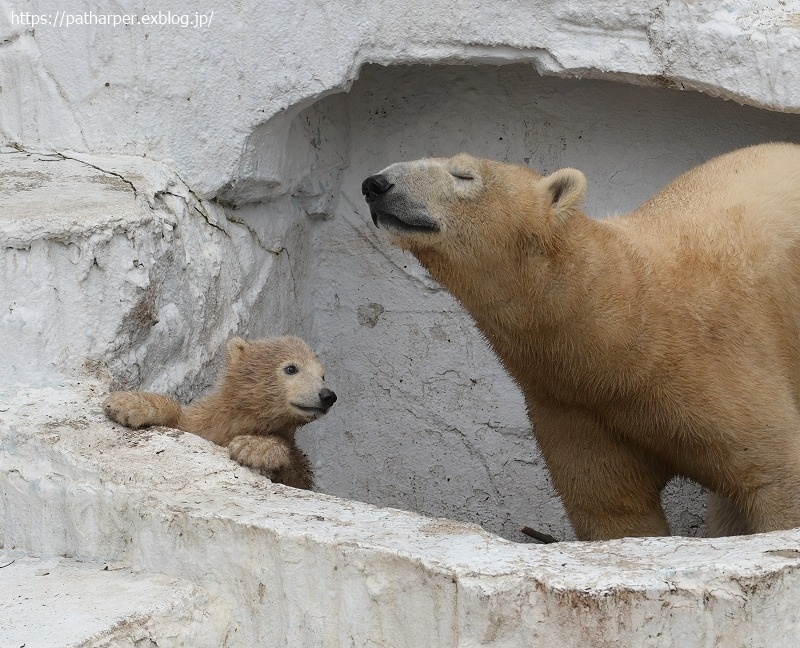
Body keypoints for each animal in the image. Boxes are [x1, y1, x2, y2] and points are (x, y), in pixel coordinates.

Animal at [102, 336, 334, 488]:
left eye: (322, 375)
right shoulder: (202, 421)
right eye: (291, 368)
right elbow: (181, 419)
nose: (328, 395)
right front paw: (128, 403)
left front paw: (255, 447)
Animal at [362, 144, 800, 540]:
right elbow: (613, 511)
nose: (375, 184)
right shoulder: (575, 409)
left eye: (464, 175)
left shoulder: (721, 360)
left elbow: (776, 475)